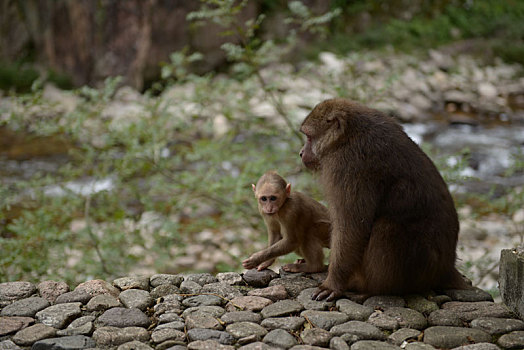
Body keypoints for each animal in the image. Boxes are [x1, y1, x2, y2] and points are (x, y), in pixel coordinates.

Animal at [300, 98, 468, 300]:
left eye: (309, 137)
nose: (301, 152)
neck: (345, 137)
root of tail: (446, 268)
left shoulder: (347, 166)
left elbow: (352, 226)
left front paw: (333, 283)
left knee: (385, 227)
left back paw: (369, 289)